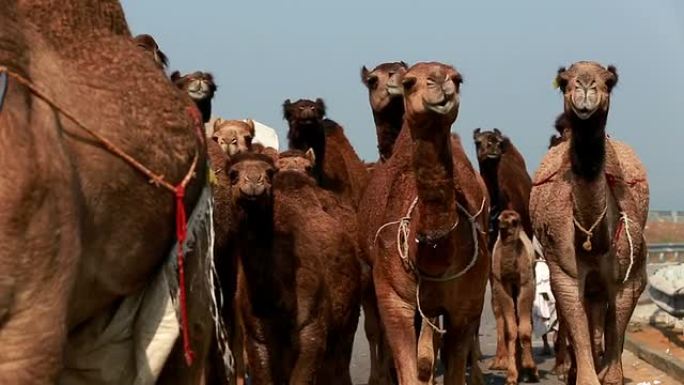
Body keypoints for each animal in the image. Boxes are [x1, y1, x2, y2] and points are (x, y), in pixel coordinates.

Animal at [358, 62, 492, 384]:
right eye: (410, 82)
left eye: (458, 79)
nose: (441, 82)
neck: (431, 252)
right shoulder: (394, 300)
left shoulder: (465, 305)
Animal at [492, 210, 540, 384]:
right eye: (500, 219)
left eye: (514, 221)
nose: (501, 226)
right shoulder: (502, 285)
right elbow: (511, 330)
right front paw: (512, 375)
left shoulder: (526, 284)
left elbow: (525, 329)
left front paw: (531, 369)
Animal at [532, 60, 648, 384]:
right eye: (564, 81)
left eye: (609, 81)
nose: (585, 87)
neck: (593, 241)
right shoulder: (564, 272)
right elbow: (579, 330)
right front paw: (581, 372)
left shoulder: (629, 278)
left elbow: (615, 332)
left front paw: (610, 373)